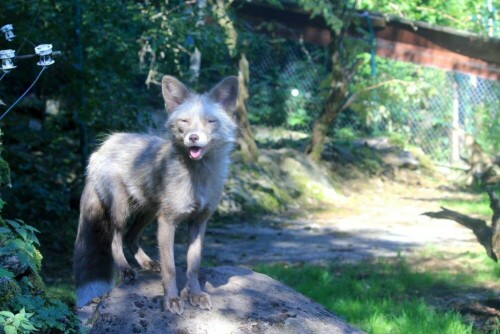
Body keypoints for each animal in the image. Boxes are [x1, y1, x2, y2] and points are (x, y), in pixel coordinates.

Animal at [73, 75, 239, 314]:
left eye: (210, 121)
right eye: (184, 122)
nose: (193, 138)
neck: (198, 179)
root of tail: (102, 147)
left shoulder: (199, 221)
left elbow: (193, 266)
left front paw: (195, 294)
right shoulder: (168, 221)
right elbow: (171, 268)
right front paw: (171, 299)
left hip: (148, 212)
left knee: (131, 237)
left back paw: (146, 263)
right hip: (122, 211)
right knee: (115, 239)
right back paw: (125, 270)